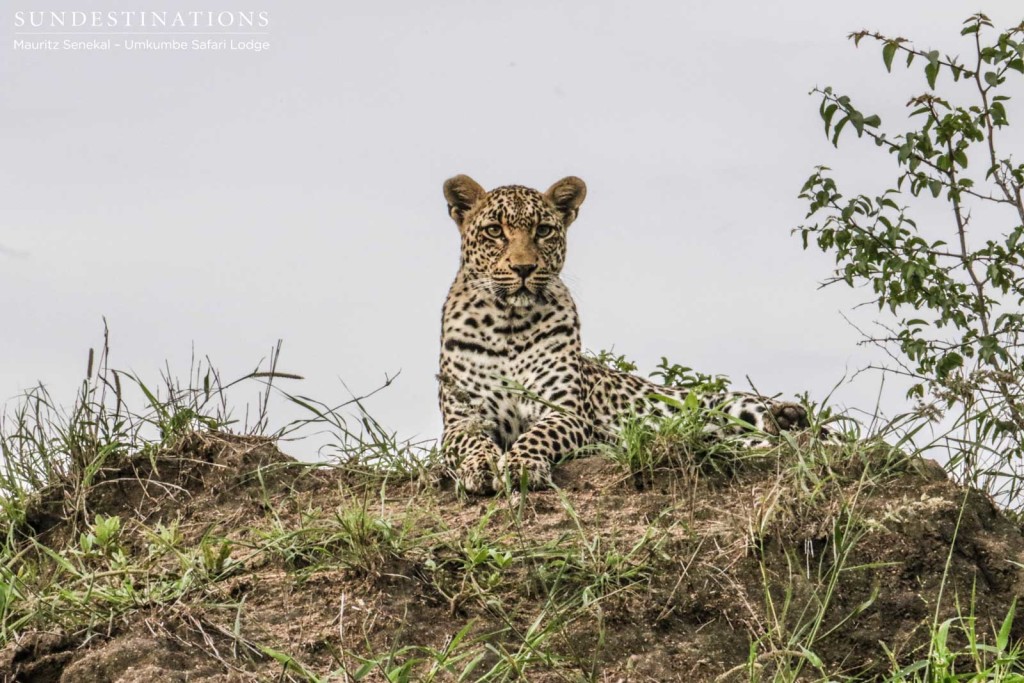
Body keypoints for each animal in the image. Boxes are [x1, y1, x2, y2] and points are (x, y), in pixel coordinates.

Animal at [440, 175, 823, 497]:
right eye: (494, 230)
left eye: (544, 230)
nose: (523, 268)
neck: (510, 325)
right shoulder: (462, 420)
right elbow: (470, 443)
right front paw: (480, 467)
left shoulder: (565, 412)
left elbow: (537, 435)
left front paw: (521, 465)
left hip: (734, 404)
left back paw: (785, 418)